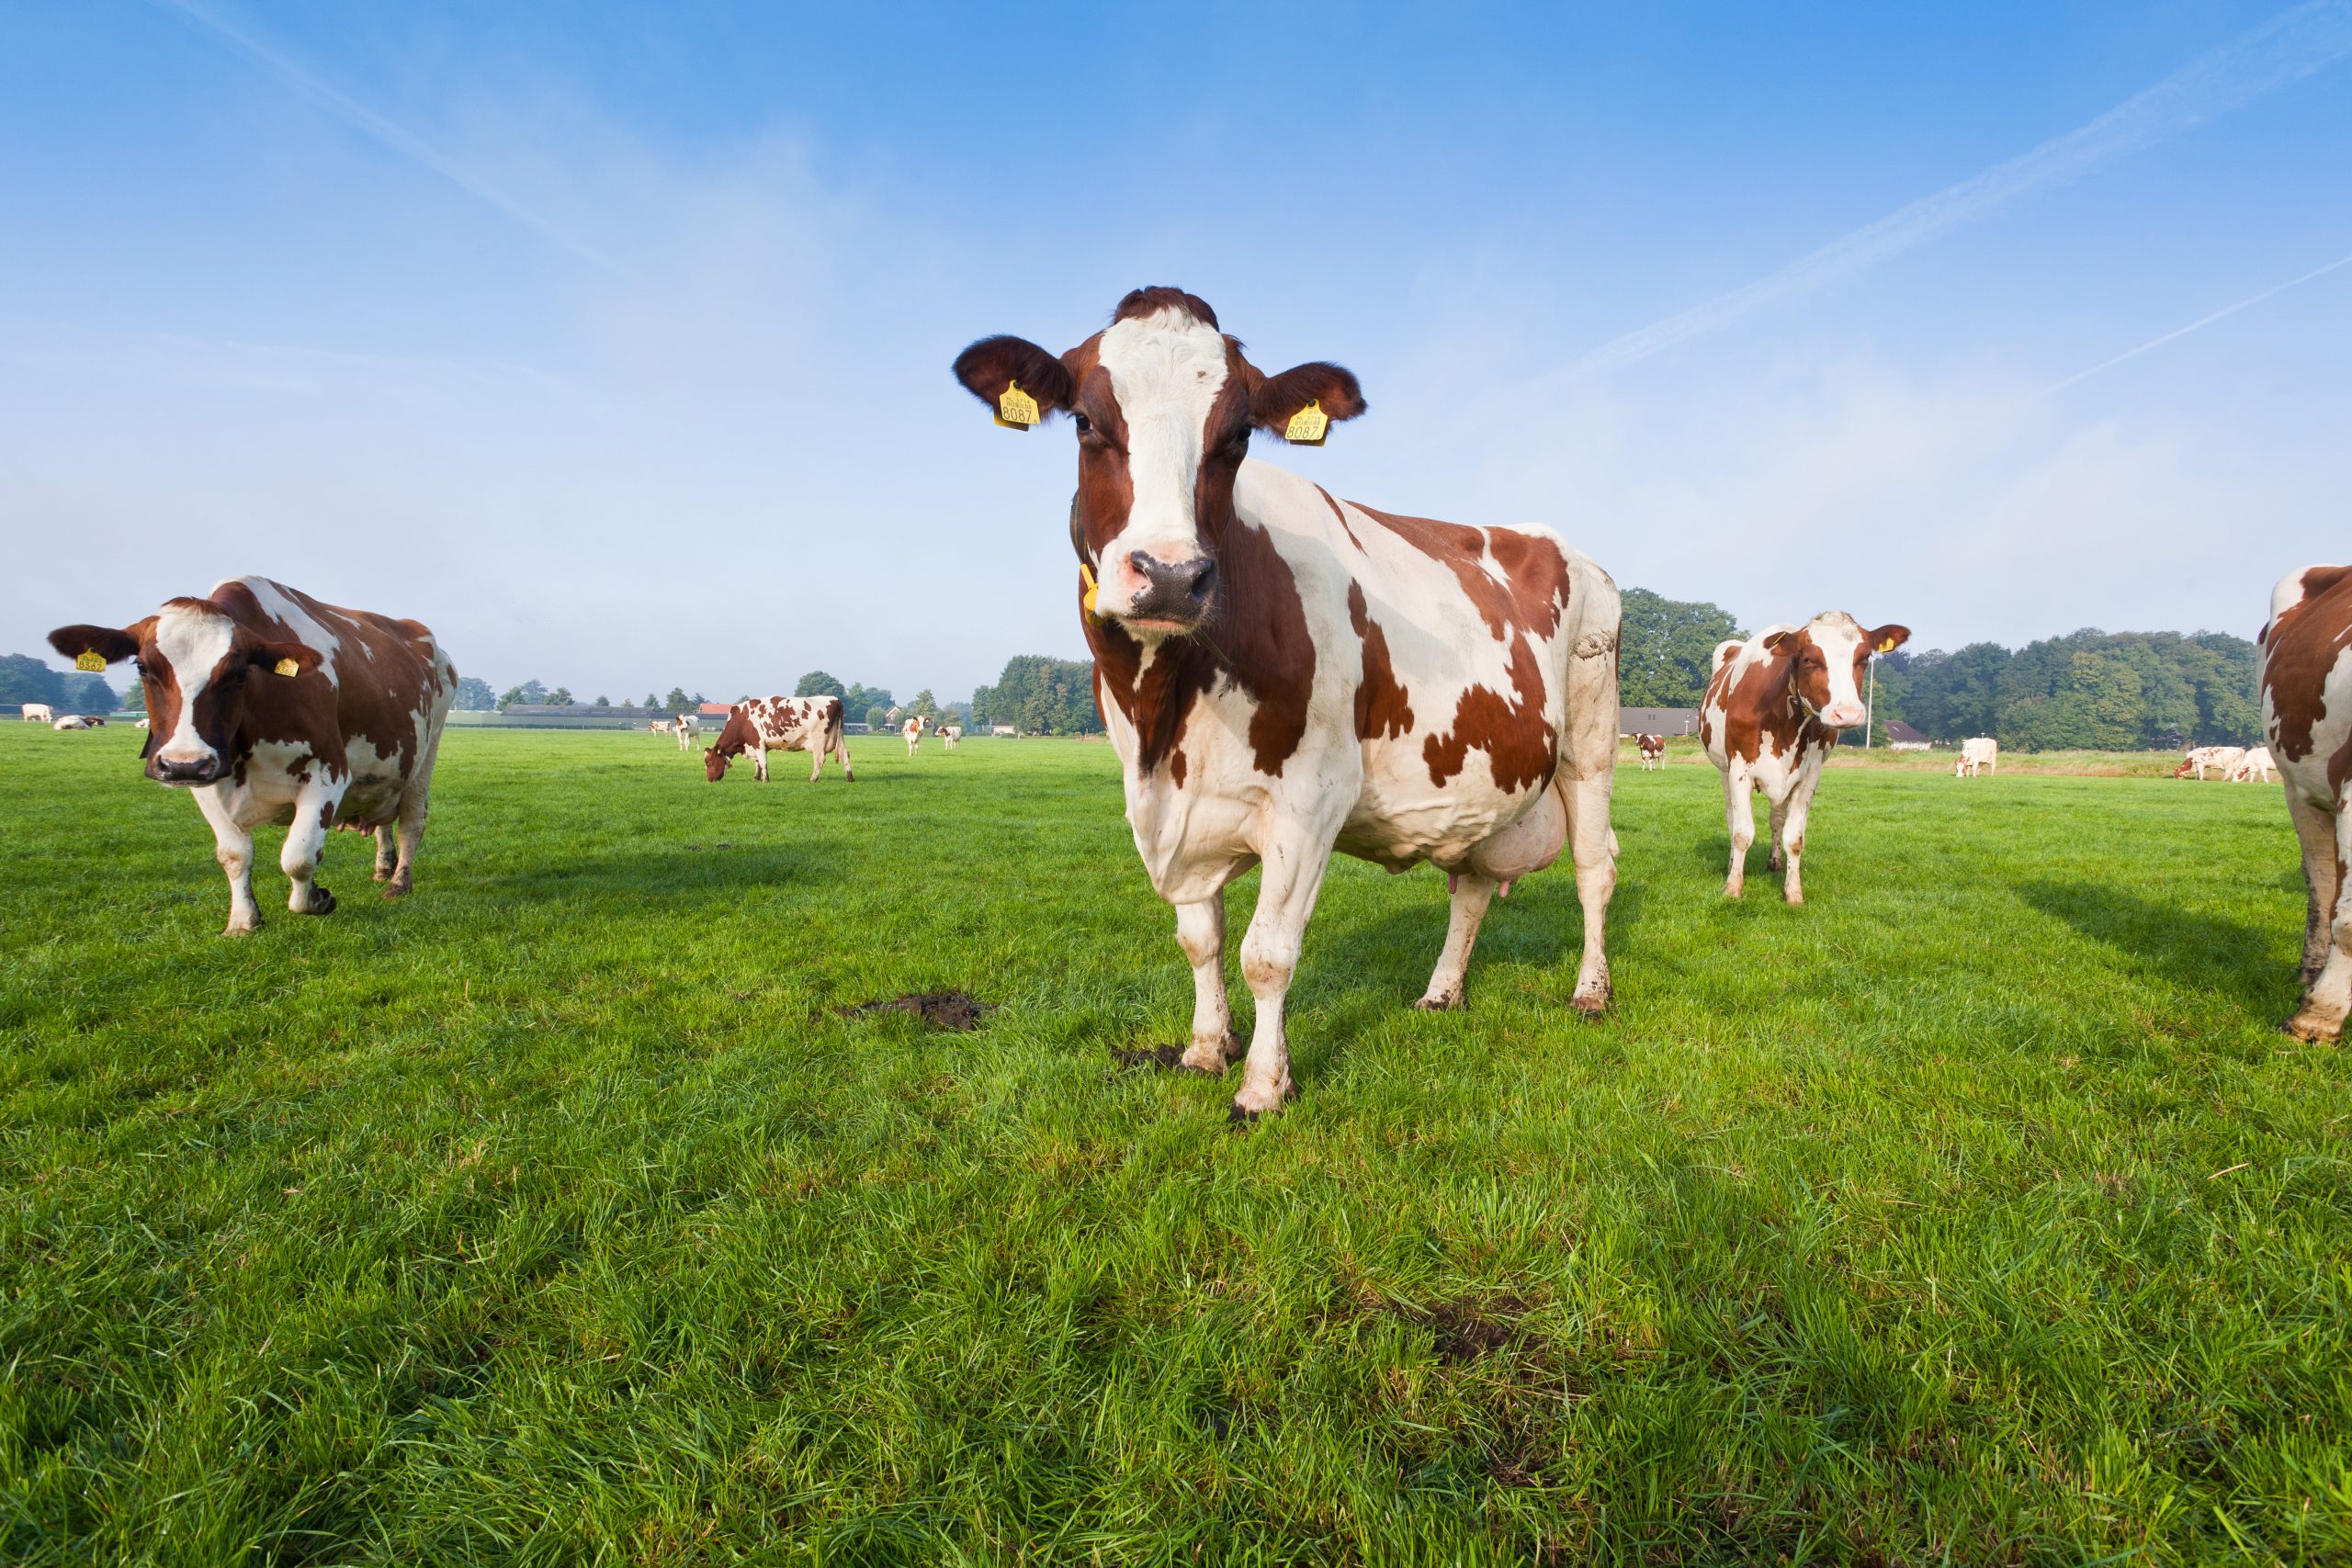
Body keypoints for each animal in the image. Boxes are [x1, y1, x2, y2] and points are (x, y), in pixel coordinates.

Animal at [51, 582, 458, 940]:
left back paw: (398, 883)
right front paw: (243, 922)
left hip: (425, 756)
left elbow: (299, 855)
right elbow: (234, 854)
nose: (183, 764)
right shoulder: (208, 780)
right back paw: (383, 867)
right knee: (382, 822)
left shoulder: (329, 773)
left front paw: (317, 898)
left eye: (238, 671)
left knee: (411, 823)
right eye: (142, 667)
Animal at [706, 695, 855, 780]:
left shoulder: (757, 743)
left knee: (819, 759)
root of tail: (835, 700)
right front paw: (756, 777)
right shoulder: (757, 745)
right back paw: (850, 778)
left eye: (709, 762)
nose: (709, 780)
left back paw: (813, 779)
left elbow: (763, 762)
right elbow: (758, 763)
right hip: (839, 735)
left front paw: (765, 779)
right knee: (845, 754)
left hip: (818, 739)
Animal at [950, 288, 1618, 1123]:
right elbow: (1200, 938)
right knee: (1468, 886)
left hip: (1592, 742)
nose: (1170, 575)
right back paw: (1441, 992)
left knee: (1595, 868)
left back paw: (1591, 992)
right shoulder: (1173, 803)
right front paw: (1206, 1048)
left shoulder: (1312, 797)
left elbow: (1266, 952)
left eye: (1237, 435)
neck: (1165, 712)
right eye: (1084, 422)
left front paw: (1264, 1085)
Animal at [1712, 611, 1909, 907]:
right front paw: (1733, 888)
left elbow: (1794, 838)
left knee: (1776, 819)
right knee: (1731, 817)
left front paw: (1793, 893)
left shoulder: (1809, 775)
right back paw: (1732, 863)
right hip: (1724, 769)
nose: (1848, 713)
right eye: (1808, 659)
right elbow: (1742, 832)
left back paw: (1775, 862)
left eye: (1865, 658)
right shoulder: (1739, 770)